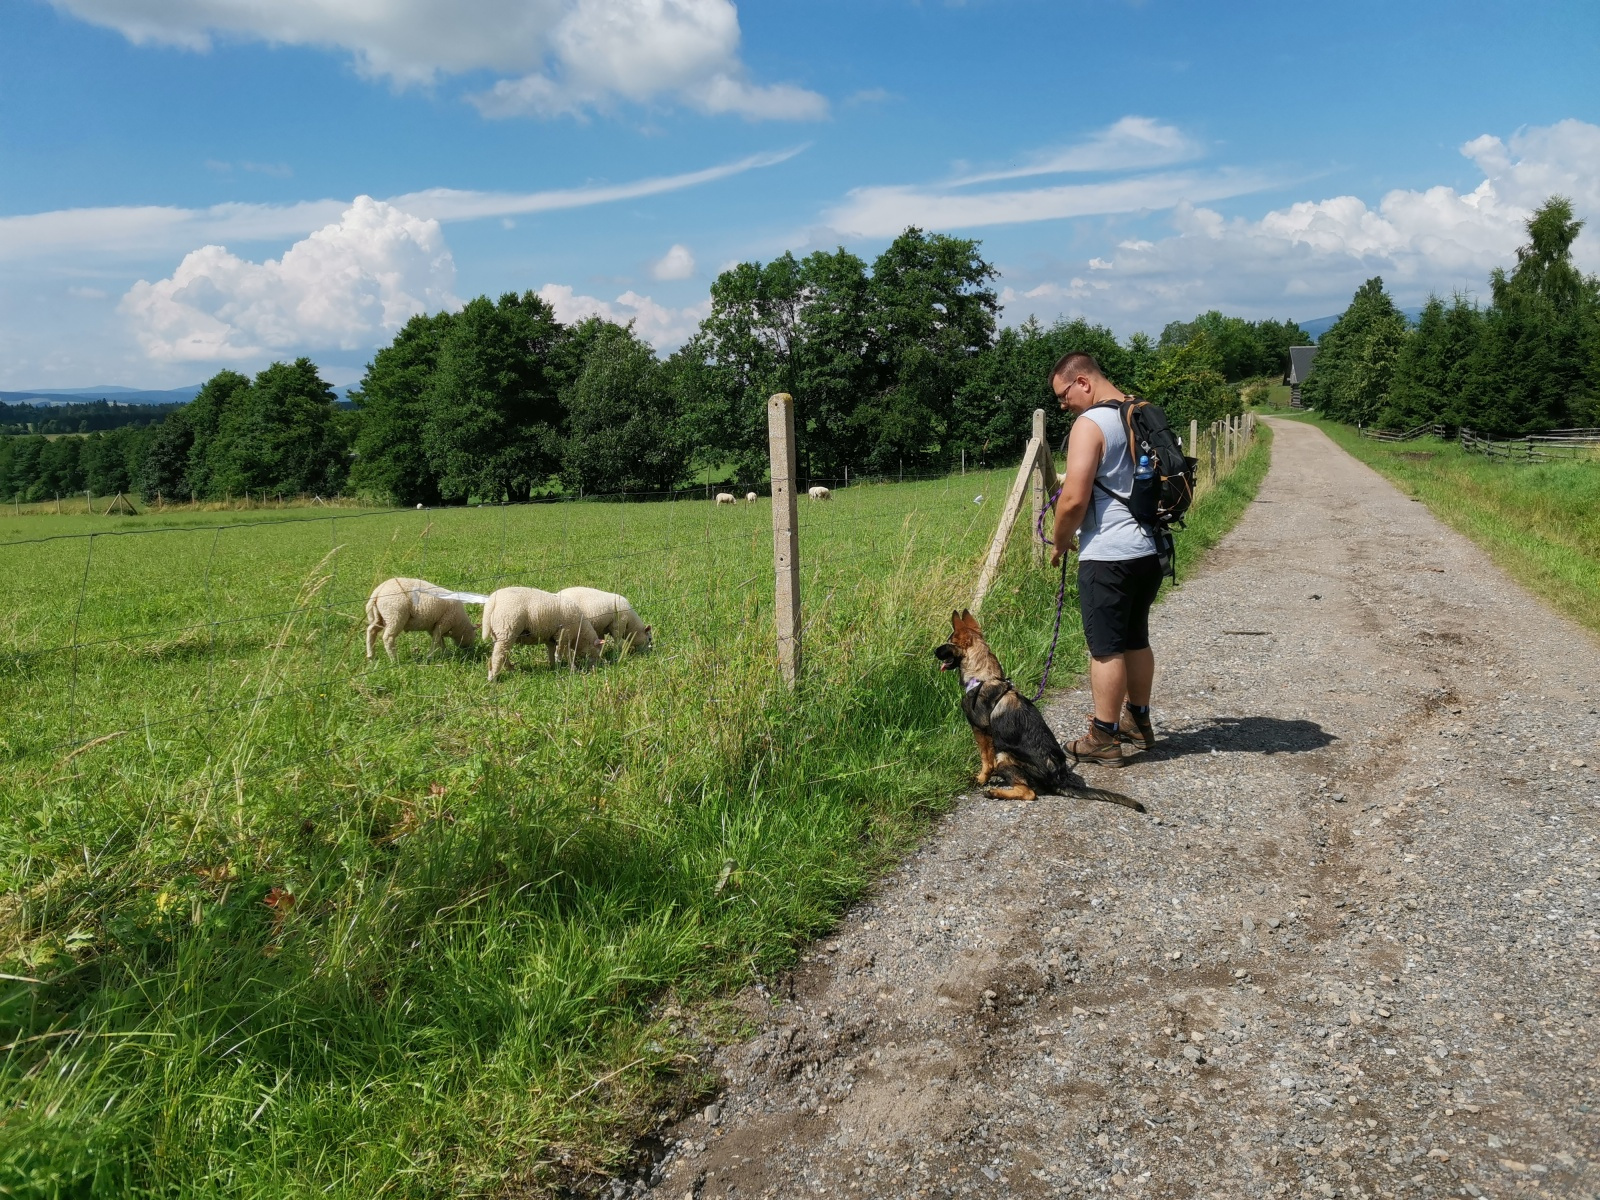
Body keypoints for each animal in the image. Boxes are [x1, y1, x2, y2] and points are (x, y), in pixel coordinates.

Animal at [935, 609, 1144, 811]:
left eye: (949, 642)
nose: (934, 651)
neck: (984, 677)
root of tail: (1059, 778)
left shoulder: (980, 731)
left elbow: (986, 760)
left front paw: (981, 779)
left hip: (1004, 756)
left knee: (1028, 793)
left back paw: (995, 792)